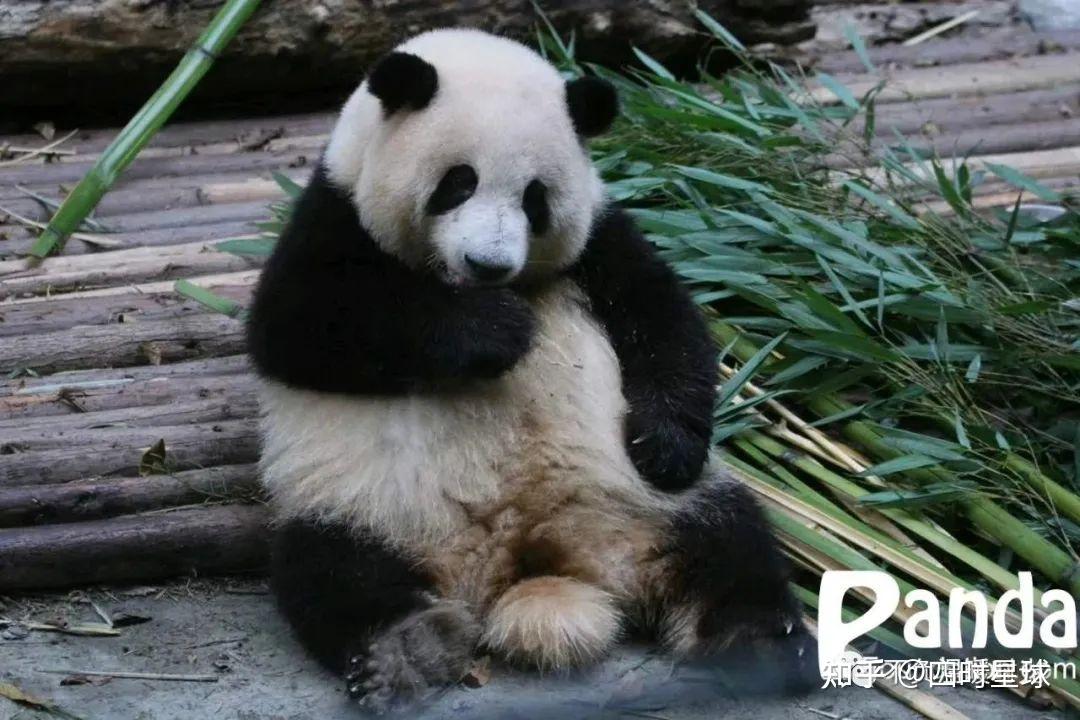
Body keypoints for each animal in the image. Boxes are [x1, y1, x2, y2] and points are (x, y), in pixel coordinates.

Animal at [247, 28, 814, 712]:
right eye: (458, 183)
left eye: (534, 198)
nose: (488, 264)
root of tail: (525, 561)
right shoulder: (333, 218)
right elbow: (298, 327)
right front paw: (496, 330)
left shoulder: (600, 240)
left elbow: (663, 323)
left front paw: (668, 444)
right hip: (373, 507)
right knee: (330, 569)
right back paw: (401, 650)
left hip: (648, 505)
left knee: (731, 541)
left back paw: (760, 644)